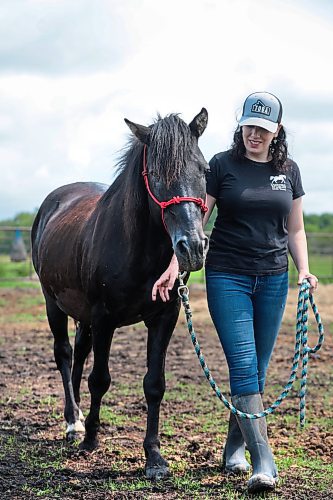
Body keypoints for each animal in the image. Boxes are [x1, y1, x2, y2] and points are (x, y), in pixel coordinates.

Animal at [30, 109, 208, 480]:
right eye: (155, 174)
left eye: (204, 170)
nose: (193, 248)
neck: (139, 249)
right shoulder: (104, 318)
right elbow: (100, 379)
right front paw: (90, 441)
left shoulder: (164, 317)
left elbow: (154, 384)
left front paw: (154, 458)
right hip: (54, 303)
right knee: (64, 354)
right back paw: (73, 424)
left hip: (82, 316)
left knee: (79, 354)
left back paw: (77, 416)